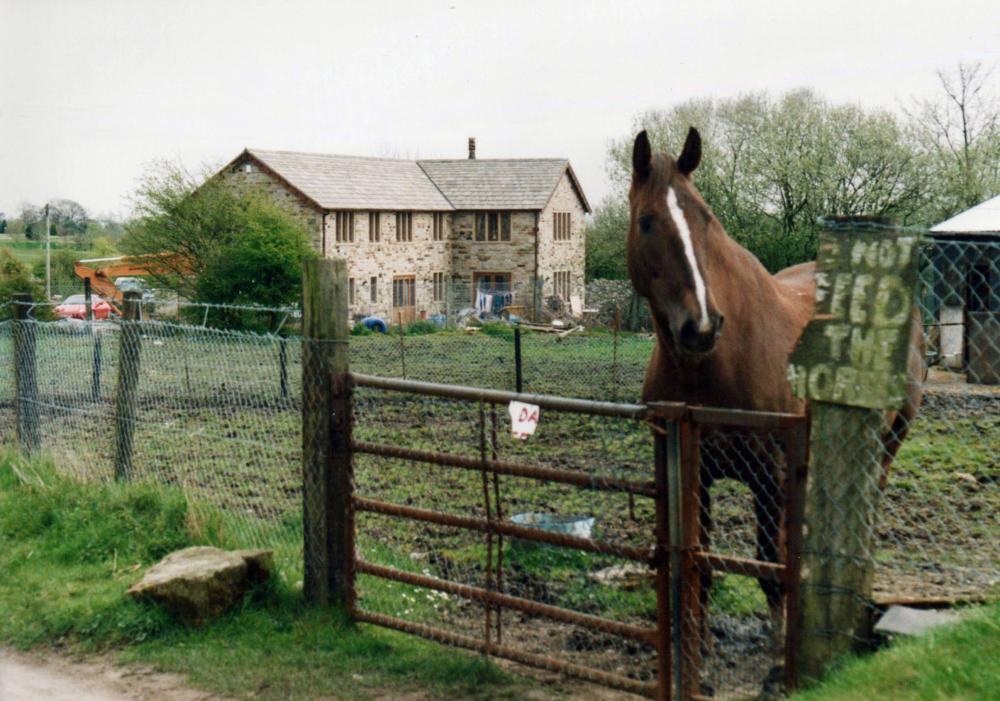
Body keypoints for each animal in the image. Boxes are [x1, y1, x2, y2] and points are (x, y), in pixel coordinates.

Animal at [628, 126, 924, 640]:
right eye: (646, 221)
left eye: (705, 219)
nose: (701, 327)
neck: (712, 367)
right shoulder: (695, 473)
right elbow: (701, 570)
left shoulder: (770, 474)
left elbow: (770, 565)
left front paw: (777, 641)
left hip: (890, 440)